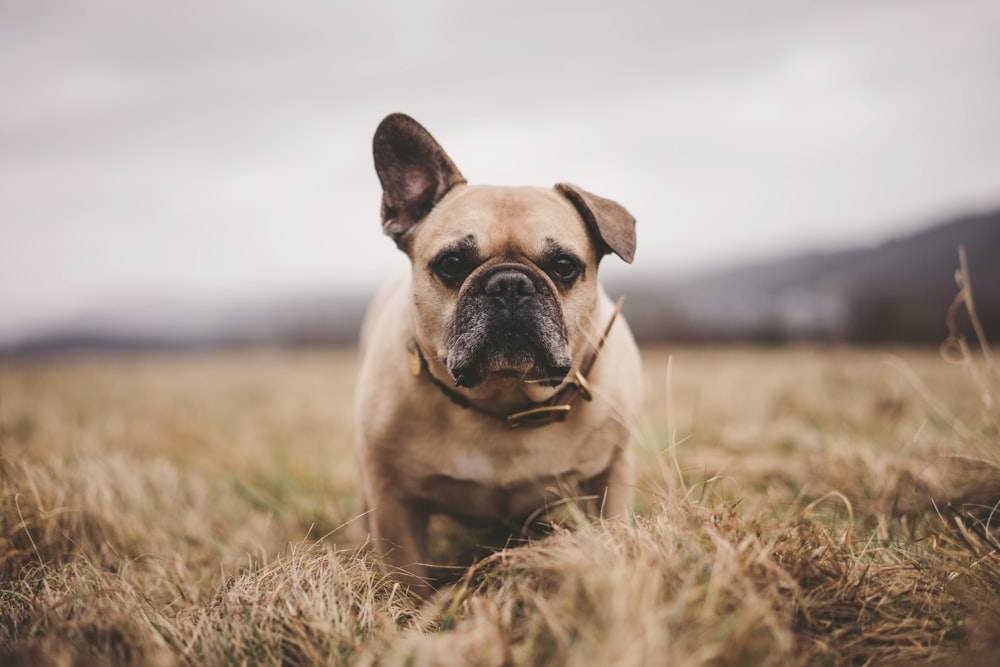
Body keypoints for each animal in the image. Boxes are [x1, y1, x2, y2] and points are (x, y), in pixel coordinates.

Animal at [356, 112, 644, 596]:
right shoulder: (394, 501)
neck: (504, 398)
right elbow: (407, 580)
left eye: (564, 266)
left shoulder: (612, 476)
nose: (510, 284)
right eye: (452, 264)